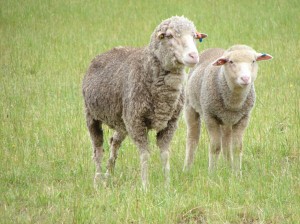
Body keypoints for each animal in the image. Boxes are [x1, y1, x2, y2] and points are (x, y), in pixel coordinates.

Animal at [82, 15, 207, 189]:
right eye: (169, 36)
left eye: (195, 36)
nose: (194, 56)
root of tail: (105, 52)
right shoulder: (137, 123)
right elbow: (145, 155)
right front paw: (145, 186)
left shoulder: (169, 124)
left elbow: (165, 154)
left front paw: (167, 184)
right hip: (91, 116)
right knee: (98, 150)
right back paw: (97, 180)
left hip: (122, 121)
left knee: (114, 142)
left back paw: (109, 174)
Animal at [183, 44, 272, 173]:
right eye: (231, 62)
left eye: (253, 61)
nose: (245, 78)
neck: (233, 103)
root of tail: (214, 49)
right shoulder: (210, 117)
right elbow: (215, 147)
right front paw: (212, 173)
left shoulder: (243, 119)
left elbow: (237, 148)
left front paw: (236, 173)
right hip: (191, 107)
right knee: (192, 139)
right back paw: (187, 168)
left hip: (227, 121)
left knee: (226, 144)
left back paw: (228, 167)